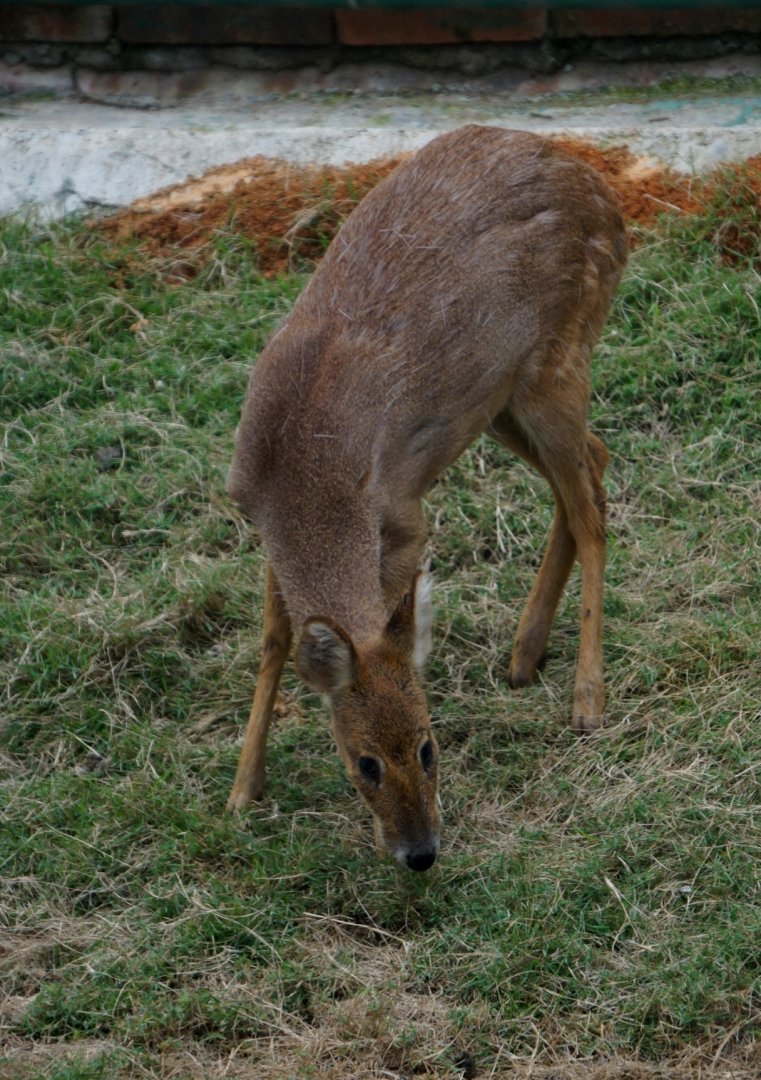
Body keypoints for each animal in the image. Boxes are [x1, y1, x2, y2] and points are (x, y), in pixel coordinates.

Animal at [225, 125, 628, 872]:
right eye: (364, 765)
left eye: (427, 747)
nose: (421, 852)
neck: (302, 483)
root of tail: (607, 199)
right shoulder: (257, 516)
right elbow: (273, 640)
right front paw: (242, 789)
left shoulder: (404, 517)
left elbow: (384, 631)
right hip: (500, 401)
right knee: (591, 465)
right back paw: (524, 655)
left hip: (555, 360)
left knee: (589, 507)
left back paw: (587, 699)